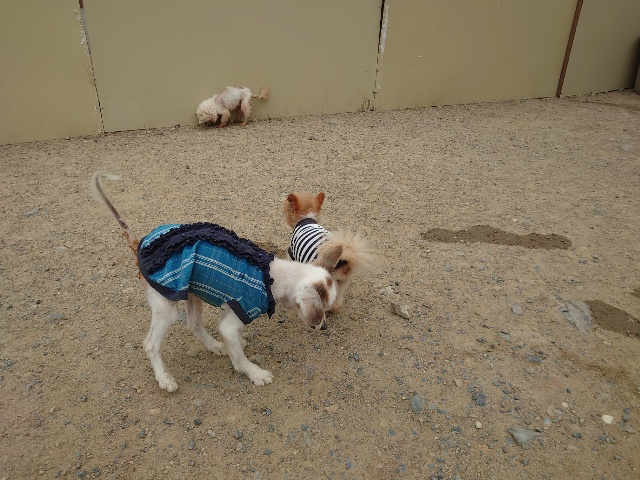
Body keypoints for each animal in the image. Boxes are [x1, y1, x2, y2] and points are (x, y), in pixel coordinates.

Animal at [91, 173, 341, 392]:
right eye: (322, 309)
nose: (324, 327)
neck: (270, 276)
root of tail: (139, 245)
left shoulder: (227, 310)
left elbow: (234, 343)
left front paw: (236, 346)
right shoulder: (232, 320)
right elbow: (239, 358)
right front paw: (255, 373)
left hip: (192, 295)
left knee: (193, 325)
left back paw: (214, 345)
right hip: (166, 306)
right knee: (150, 344)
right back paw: (164, 378)